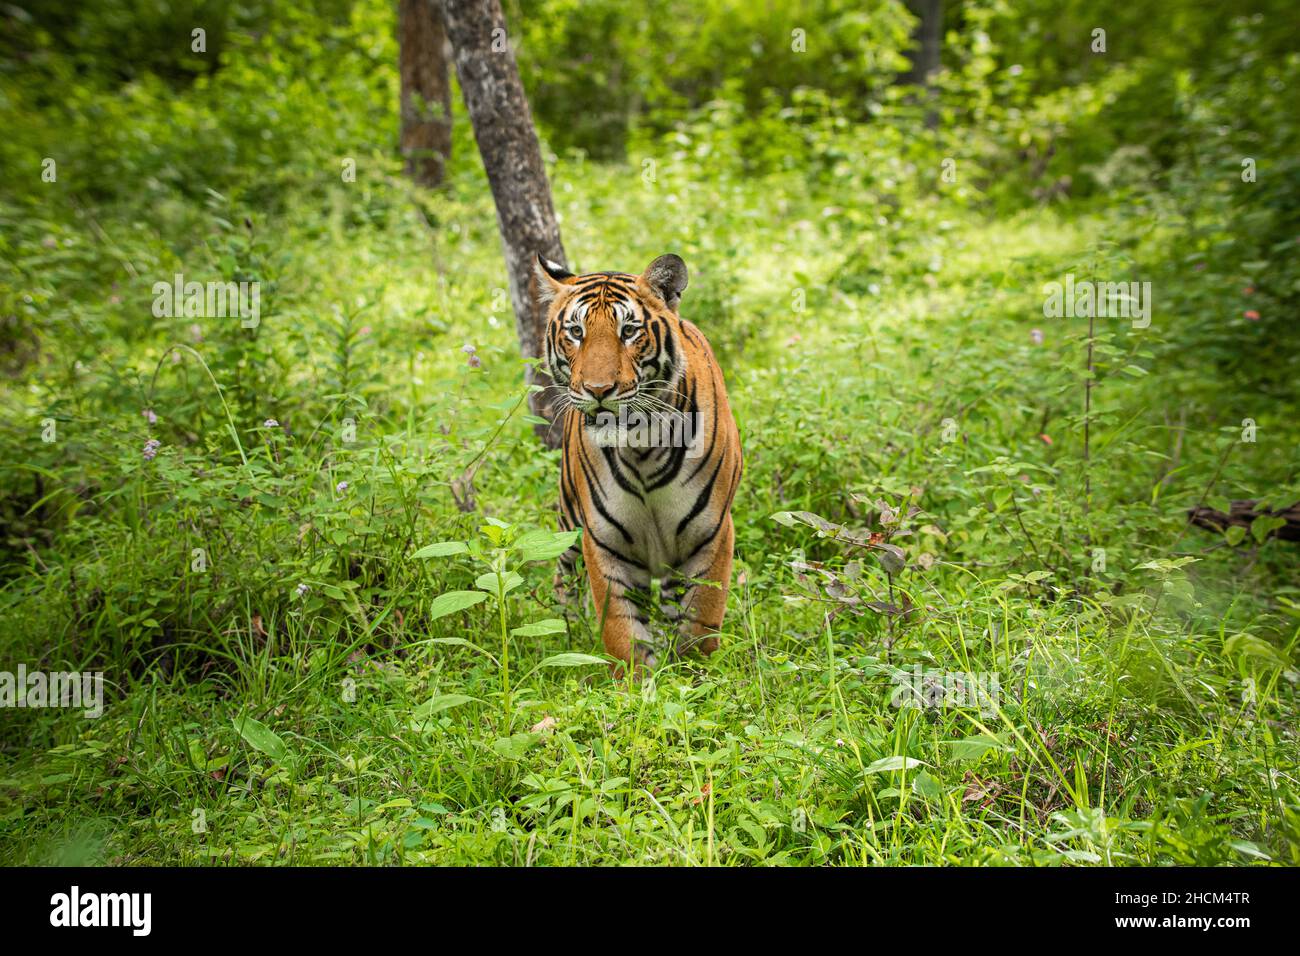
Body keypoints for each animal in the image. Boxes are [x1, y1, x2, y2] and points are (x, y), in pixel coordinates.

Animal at [535, 254, 743, 671]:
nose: (598, 390)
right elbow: (621, 629)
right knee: (564, 579)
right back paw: (564, 635)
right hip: (568, 517)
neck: (640, 447)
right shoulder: (604, 541)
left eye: (629, 330)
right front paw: (636, 681)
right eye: (576, 332)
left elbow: (701, 620)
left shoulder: (711, 534)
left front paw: (694, 674)